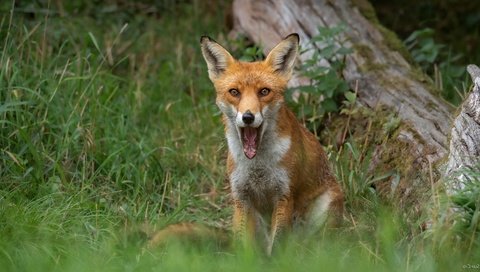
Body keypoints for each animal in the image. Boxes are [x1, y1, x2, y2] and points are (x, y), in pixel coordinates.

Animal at [197, 32, 344, 255]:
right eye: (234, 92)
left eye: (264, 92)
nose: (248, 117)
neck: (257, 166)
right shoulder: (241, 198)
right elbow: (243, 247)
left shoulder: (284, 195)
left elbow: (277, 247)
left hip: (324, 212)